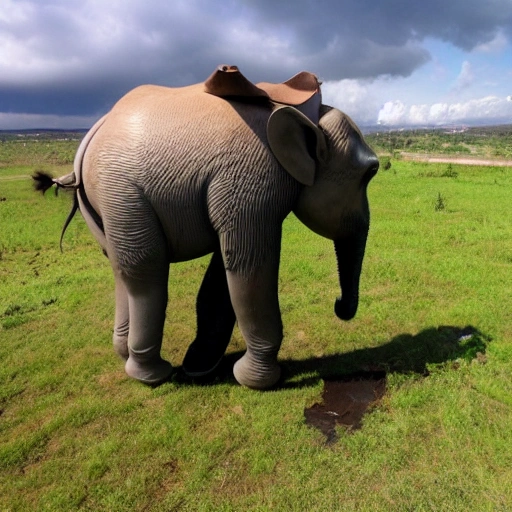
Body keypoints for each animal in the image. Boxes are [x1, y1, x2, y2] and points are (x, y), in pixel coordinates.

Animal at [34, 66, 378, 390]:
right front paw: (259, 382)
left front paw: (200, 367)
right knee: (145, 266)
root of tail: (93, 134)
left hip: (102, 201)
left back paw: (126, 356)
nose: (339, 307)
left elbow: (225, 270)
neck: (309, 116)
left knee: (120, 267)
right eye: (370, 173)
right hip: (119, 189)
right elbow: (249, 266)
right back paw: (152, 376)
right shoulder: (254, 178)